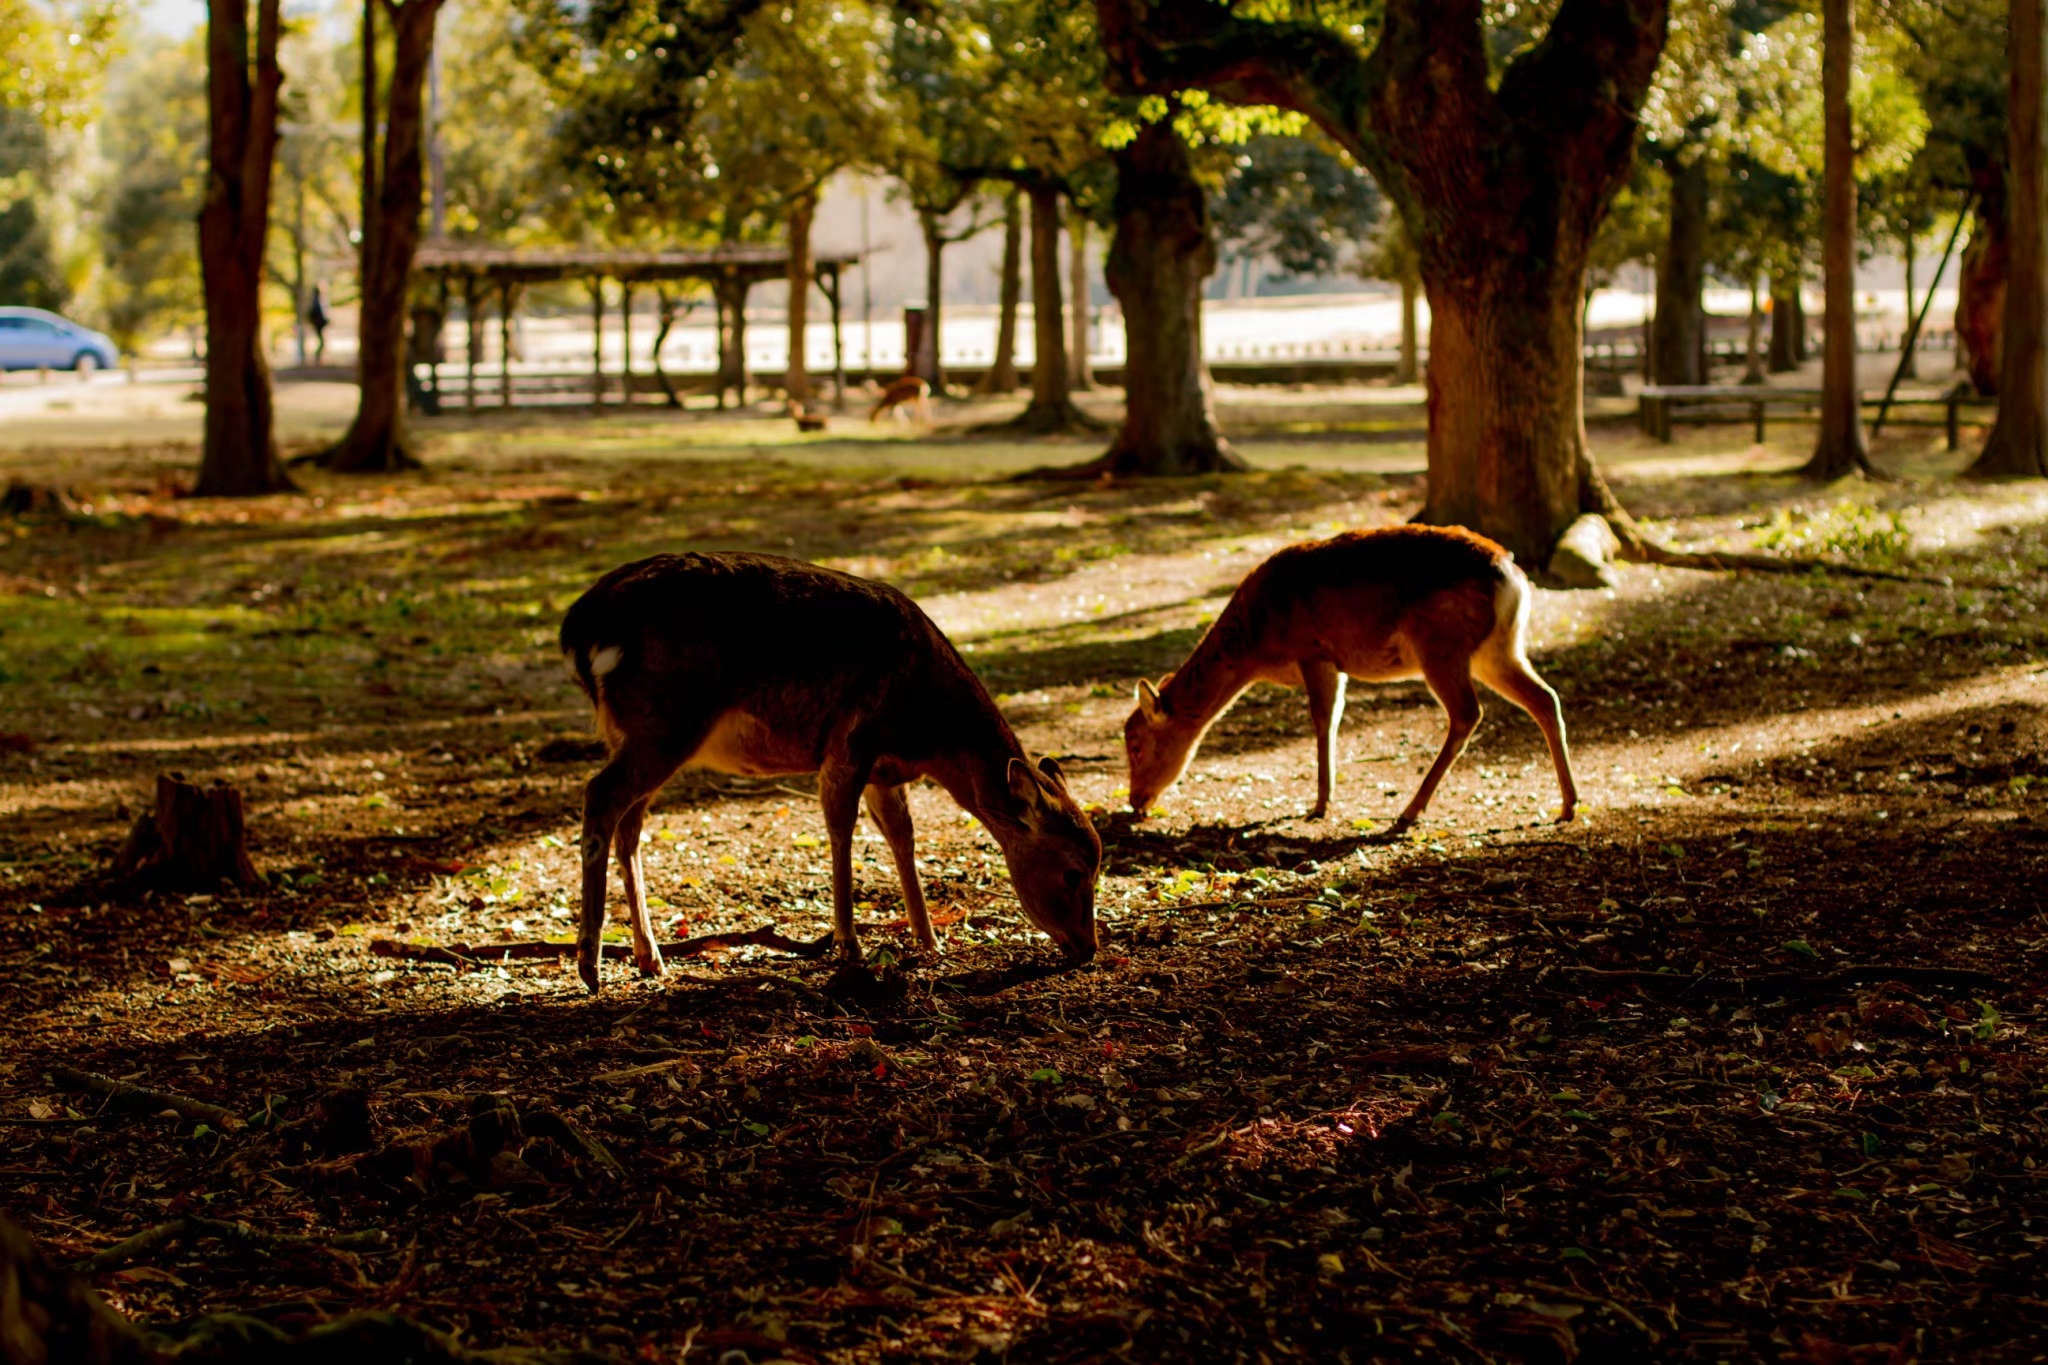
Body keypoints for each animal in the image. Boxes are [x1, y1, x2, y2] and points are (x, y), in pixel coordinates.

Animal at [560, 552, 1100, 992]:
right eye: (1073, 872)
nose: (1089, 947)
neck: (929, 734)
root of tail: (578, 629)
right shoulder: (851, 740)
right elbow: (841, 830)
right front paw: (850, 946)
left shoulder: (886, 773)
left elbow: (902, 838)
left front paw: (929, 940)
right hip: (666, 719)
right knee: (600, 795)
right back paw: (590, 963)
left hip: (634, 731)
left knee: (630, 825)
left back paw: (649, 957)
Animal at [1124, 525, 1578, 834]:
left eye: (1136, 745)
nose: (1134, 801)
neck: (1257, 644)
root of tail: (1511, 577)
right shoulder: (1334, 664)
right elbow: (1335, 720)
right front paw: (1326, 798)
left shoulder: (1313, 651)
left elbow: (1322, 720)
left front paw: (1319, 805)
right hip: (1497, 649)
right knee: (1545, 697)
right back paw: (1569, 805)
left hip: (1441, 645)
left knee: (1468, 712)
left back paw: (1410, 810)